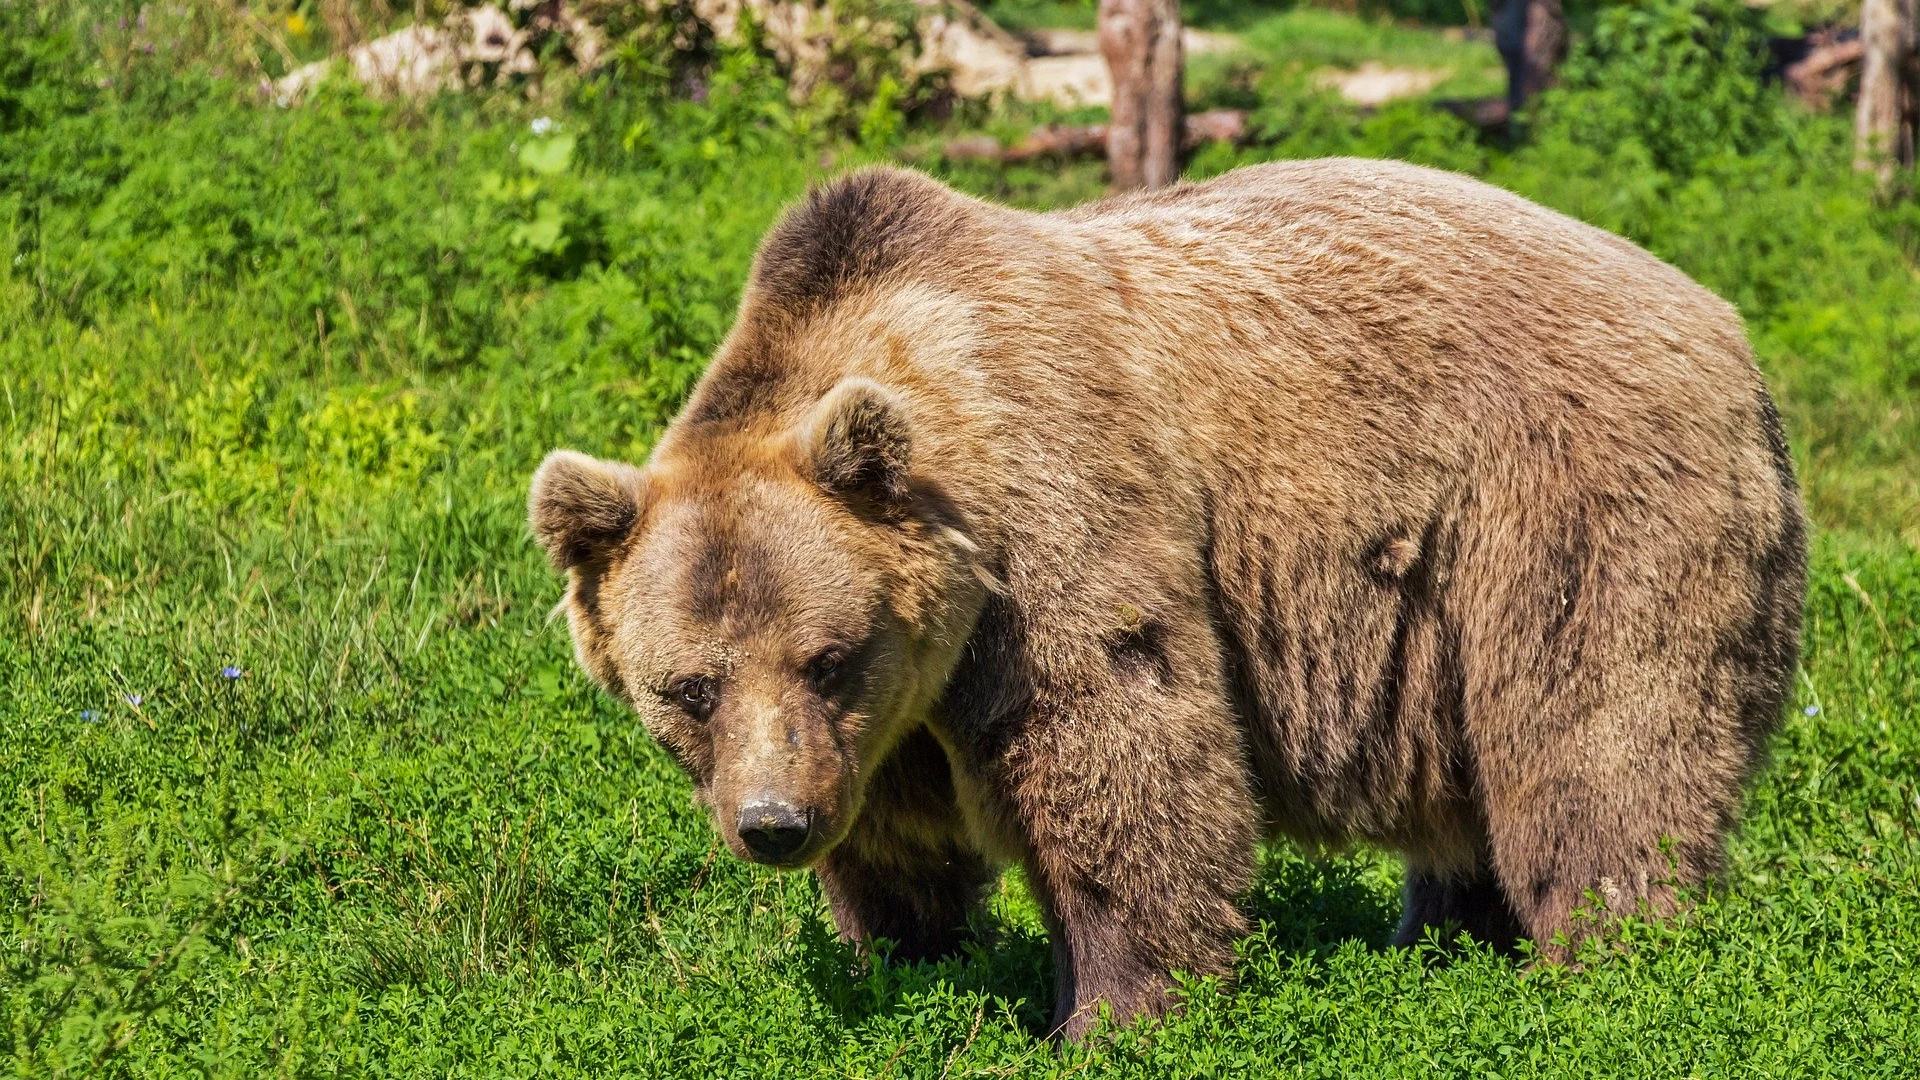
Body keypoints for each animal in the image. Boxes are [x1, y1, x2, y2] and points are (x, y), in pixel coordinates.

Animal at [528, 159, 1807, 1041]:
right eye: (687, 689)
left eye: (826, 655)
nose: (773, 825)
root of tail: (1727, 326)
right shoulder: (888, 717)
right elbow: (897, 842)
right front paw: (910, 960)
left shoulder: (1053, 529)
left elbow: (1120, 753)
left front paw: (1111, 1014)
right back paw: (1444, 943)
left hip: (1566, 507)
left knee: (1597, 741)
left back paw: (1610, 958)